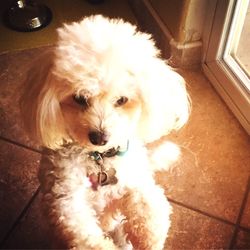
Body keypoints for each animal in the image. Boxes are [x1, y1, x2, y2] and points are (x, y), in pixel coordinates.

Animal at [20, 14, 189, 249]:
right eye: (80, 98)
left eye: (122, 100)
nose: (100, 137)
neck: (99, 158)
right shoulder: (65, 199)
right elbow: (85, 235)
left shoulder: (135, 181)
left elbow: (150, 207)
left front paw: (150, 239)